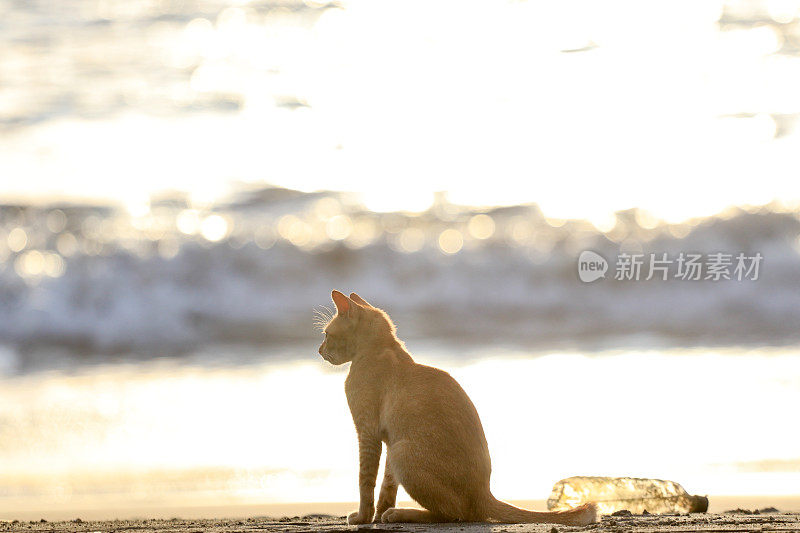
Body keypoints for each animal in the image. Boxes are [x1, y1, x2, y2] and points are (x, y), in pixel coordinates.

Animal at [316, 286, 596, 524]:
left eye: (327, 335)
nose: (319, 350)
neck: (381, 350)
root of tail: (485, 493)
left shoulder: (369, 434)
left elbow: (365, 481)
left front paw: (363, 517)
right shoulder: (388, 438)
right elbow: (387, 485)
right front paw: (378, 514)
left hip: (401, 452)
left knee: (454, 514)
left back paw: (402, 513)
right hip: (397, 449)